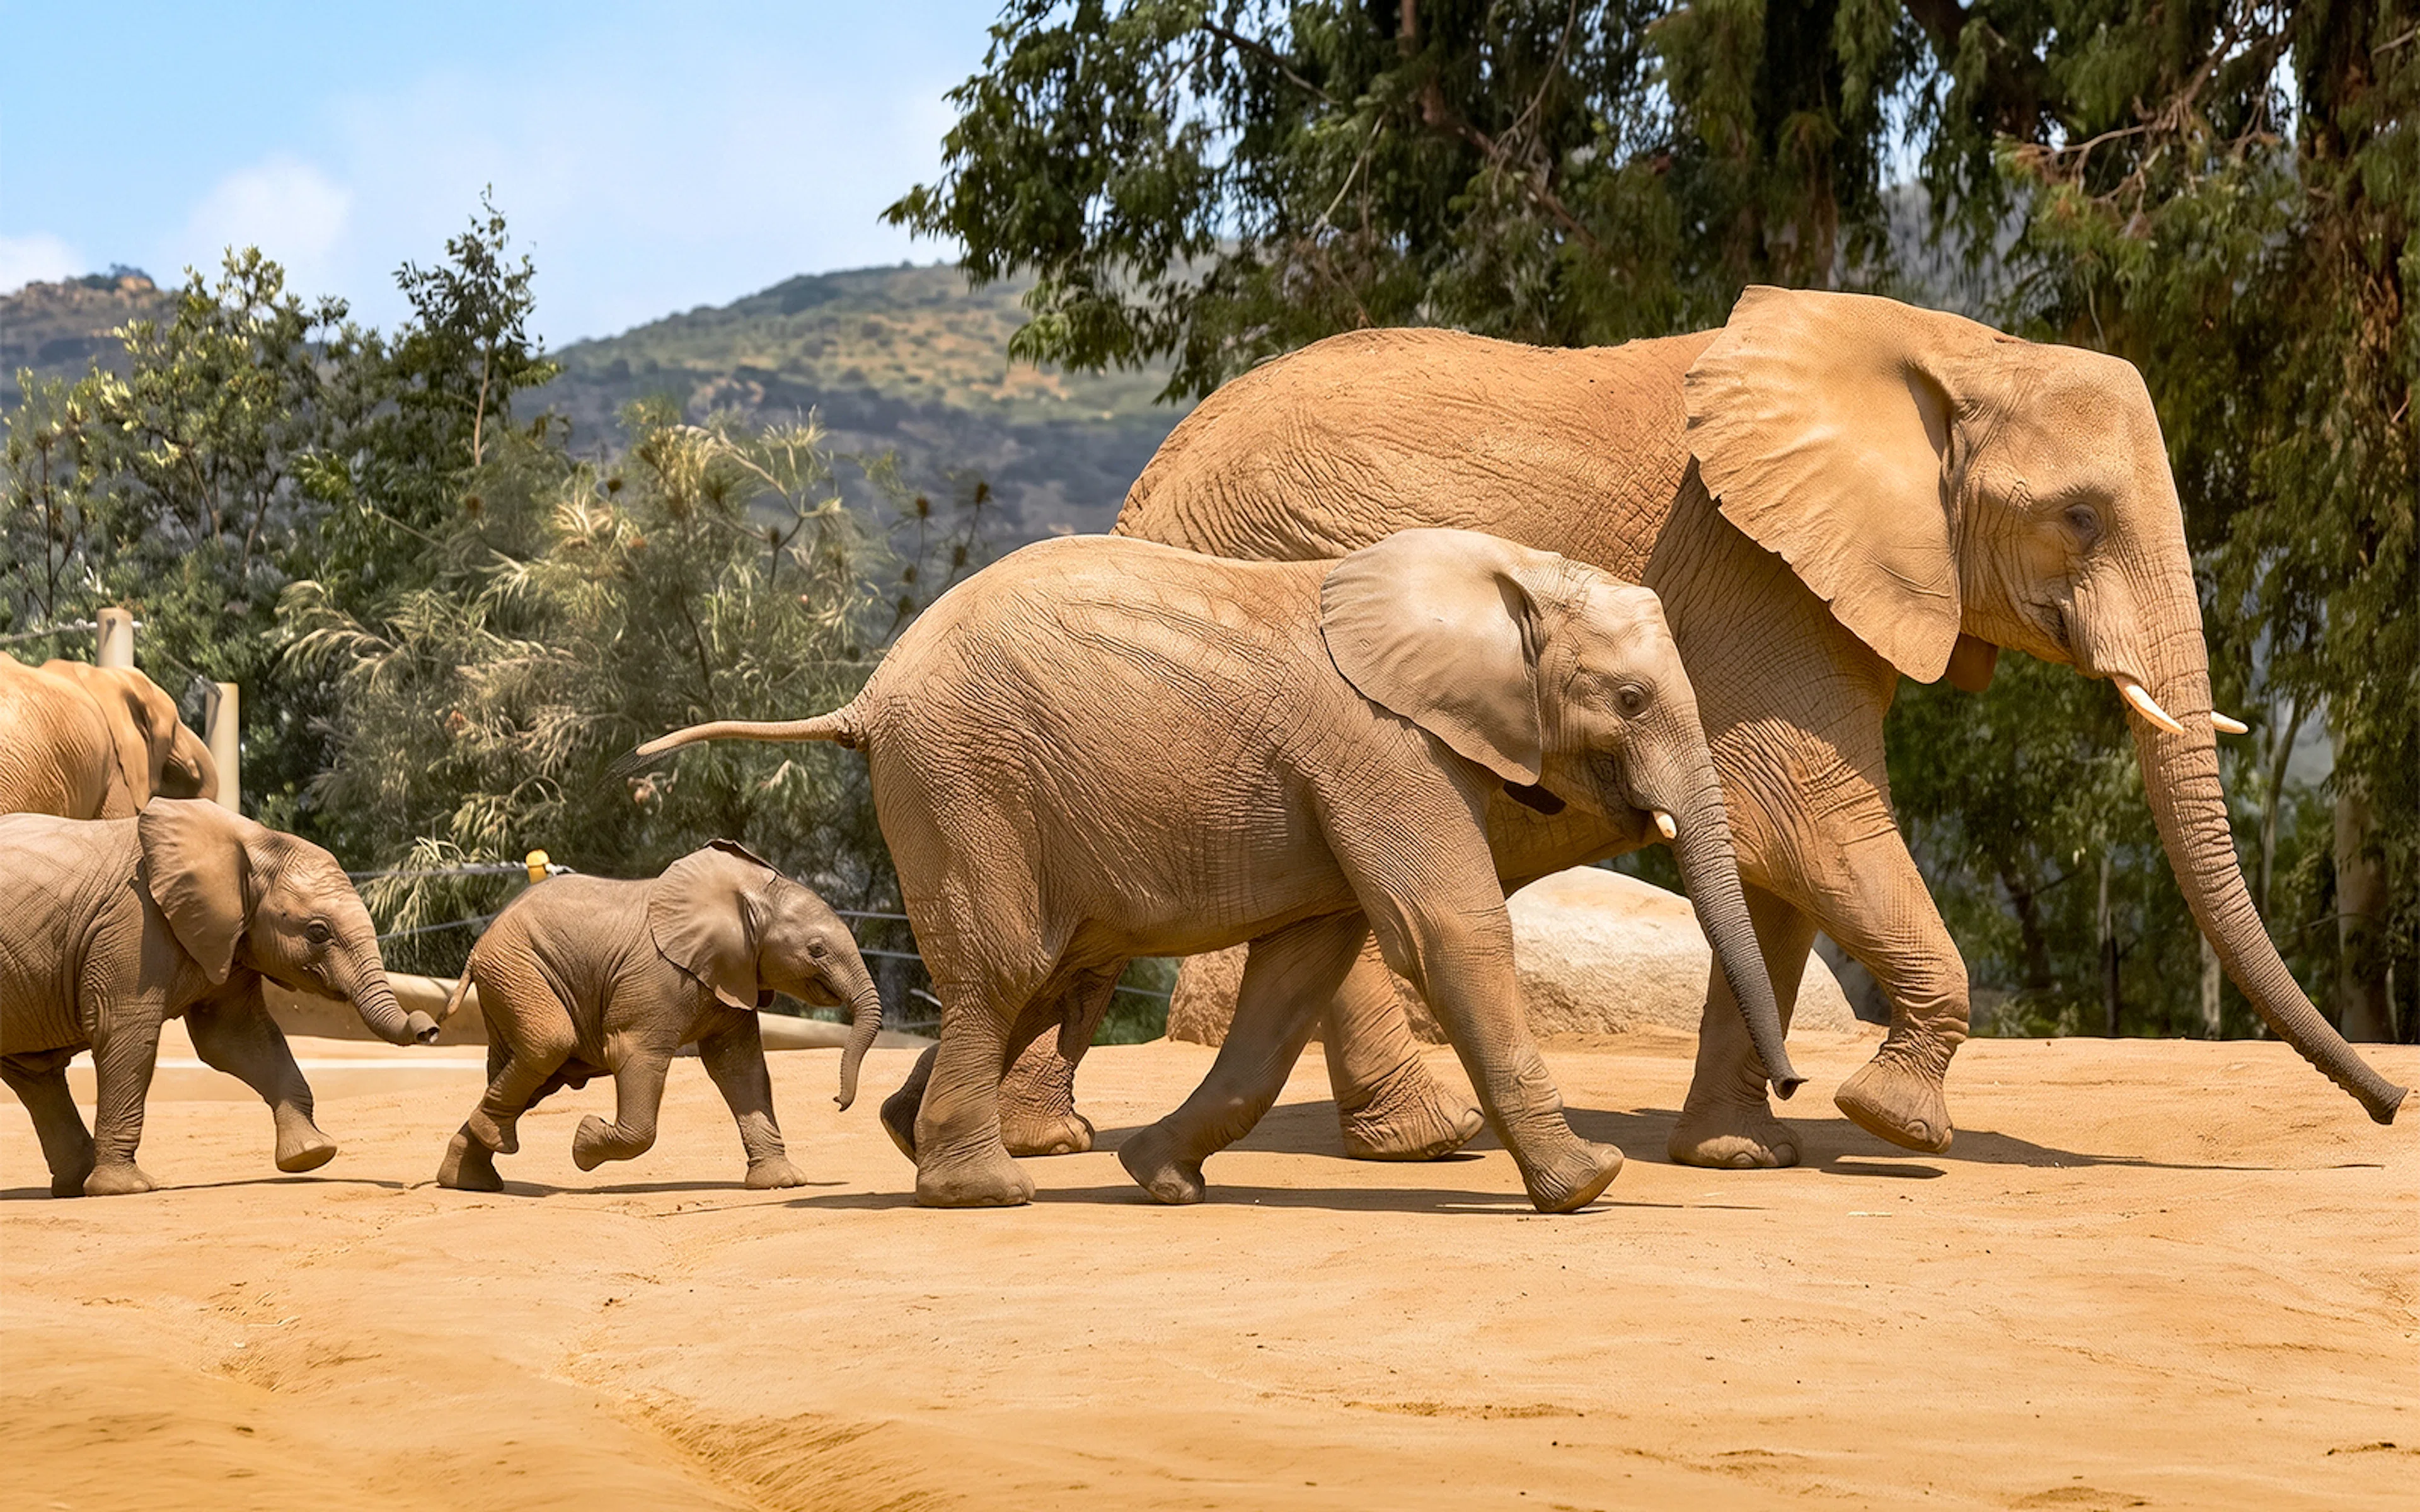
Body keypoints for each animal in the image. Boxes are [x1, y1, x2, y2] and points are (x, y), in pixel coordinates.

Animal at [0, 800, 440, 1196]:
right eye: (318, 932)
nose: (430, 1029)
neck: (250, 840)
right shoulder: (132, 927)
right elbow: (125, 1033)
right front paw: (125, 1190)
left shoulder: (231, 936)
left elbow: (236, 1038)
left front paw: (311, 1154)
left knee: (36, 1074)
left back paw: (73, 1186)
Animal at [433, 841, 884, 1193]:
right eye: (817, 950)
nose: (838, 1102)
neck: (746, 898)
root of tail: (479, 946)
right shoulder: (657, 978)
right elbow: (638, 1054)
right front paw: (583, 1143)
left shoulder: (732, 973)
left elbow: (740, 1067)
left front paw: (781, 1183)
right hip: (519, 971)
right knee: (548, 1046)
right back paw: (489, 1147)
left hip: (511, 981)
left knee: (529, 1073)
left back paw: (468, 1177)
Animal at [628, 528, 1800, 1211]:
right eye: (1633, 700)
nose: (1791, 1084)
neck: (1497, 574)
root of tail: (868, 697)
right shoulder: (1384, 749)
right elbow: (1443, 930)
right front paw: (1588, 1184)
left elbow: (1301, 970)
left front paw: (1162, 1177)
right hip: (967, 781)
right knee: (1006, 972)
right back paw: (982, 1191)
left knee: (1040, 977)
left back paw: (910, 1137)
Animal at [989, 284, 2404, 1171]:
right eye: (2081, 519)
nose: (2393, 1109)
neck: (1946, 353)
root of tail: (1145, 487)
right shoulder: (1750, 571)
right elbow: (1800, 817)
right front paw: (1894, 1126)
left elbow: (1768, 870)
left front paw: (1745, 1152)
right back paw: (1431, 1141)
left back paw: (1055, 1142)